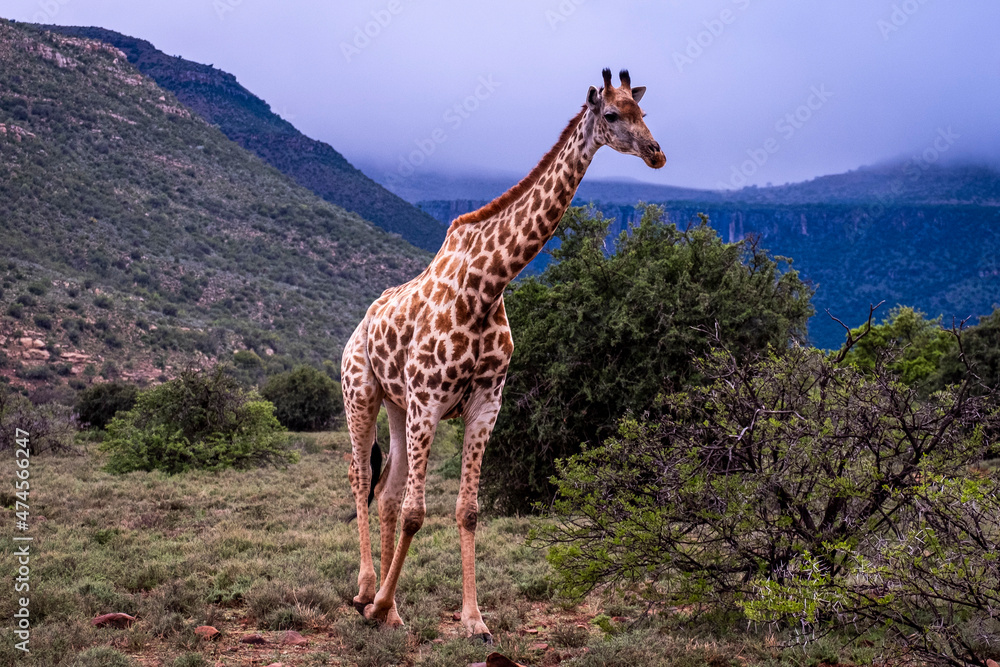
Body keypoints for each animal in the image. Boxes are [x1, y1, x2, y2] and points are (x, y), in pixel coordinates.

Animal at [341, 68, 664, 642]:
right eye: (612, 114)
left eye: (644, 111)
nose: (656, 153)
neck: (487, 286)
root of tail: (360, 325)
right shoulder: (430, 401)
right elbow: (417, 512)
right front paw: (378, 606)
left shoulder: (483, 404)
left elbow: (467, 511)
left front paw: (473, 620)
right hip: (363, 394)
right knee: (362, 479)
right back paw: (365, 593)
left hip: (399, 408)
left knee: (386, 491)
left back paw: (392, 608)